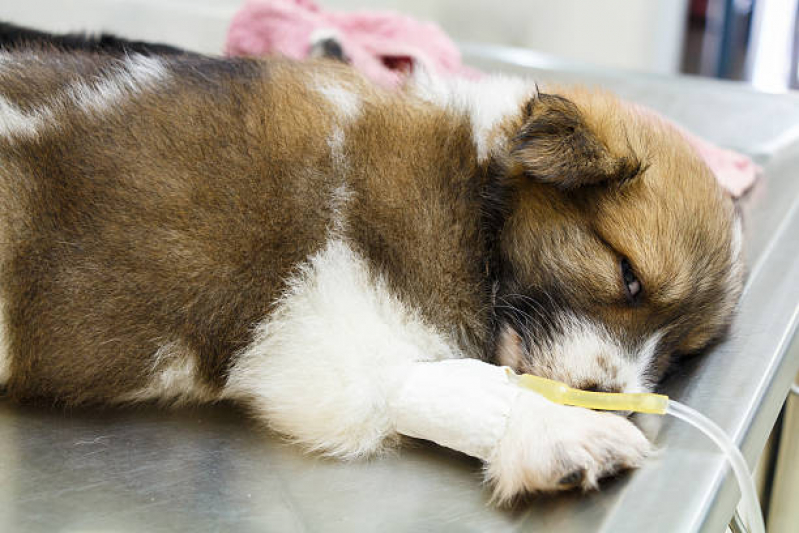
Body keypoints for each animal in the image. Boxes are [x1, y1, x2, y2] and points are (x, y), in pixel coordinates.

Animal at [0, 50, 744, 502]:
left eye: (679, 354)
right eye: (627, 275)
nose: (607, 396)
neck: (472, 195)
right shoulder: (316, 336)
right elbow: (444, 381)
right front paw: (550, 427)